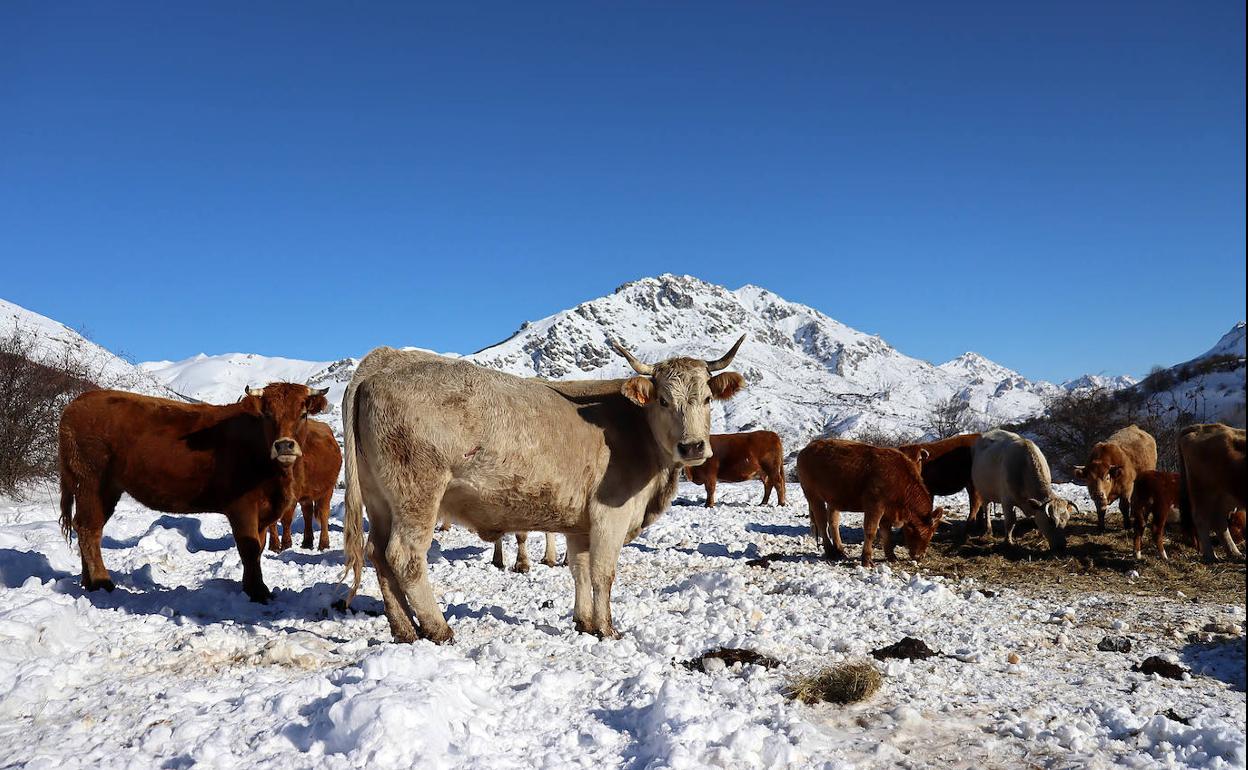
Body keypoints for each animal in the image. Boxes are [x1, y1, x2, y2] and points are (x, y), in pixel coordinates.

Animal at [57, 384, 331, 601]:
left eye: (303, 414)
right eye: (267, 415)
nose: (284, 445)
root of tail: (79, 402)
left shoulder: (263, 512)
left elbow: (259, 546)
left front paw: (250, 586)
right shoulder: (242, 507)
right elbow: (249, 548)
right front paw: (258, 592)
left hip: (104, 490)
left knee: (86, 527)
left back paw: (88, 582)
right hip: (92, 482)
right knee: (89, 530)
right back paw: (102, 582)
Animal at [264, 416, 341, 549]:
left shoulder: (292, 496)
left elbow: (286, 518)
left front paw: (286, 544)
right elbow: (272, 521)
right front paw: (274, 546)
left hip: (327, 489)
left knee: (324, 513)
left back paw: (324, 543)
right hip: (307, 494)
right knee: (307, 513)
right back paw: (307, 542)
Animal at [339, 336, 738, 643]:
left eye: (707, 399)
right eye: (664, 400)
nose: (693, 446)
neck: (635, 428)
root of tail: (383, 362)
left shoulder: (581, 523)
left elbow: (579, 569)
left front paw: (585, 622)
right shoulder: (611, 513)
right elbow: (602, 572)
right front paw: (608, 629)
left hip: (380, 499)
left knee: (377, 554)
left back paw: (405, 629)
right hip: (417, 492)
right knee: (404, 556)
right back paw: (438, 629)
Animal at [793, 439, 938, 564]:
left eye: (932, 535)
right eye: (921, 533)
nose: (920, 556)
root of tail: (808, 447)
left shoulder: (887, 512)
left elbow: (886, 533)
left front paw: (891, 556)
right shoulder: (875, 505)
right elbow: (870, 531)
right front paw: (867, 559)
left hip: (833, 499)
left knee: (833, 523)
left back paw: (840, 550)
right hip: (813, 496)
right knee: (822, 523)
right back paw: (830, 552)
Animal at [1173, 424, 1243, 561]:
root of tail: (1200, 427)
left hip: (1223, 496)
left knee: (1219, 522)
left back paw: (1234, 553)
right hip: (1204, 493)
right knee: (1202, 519)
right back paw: (1211, 556)